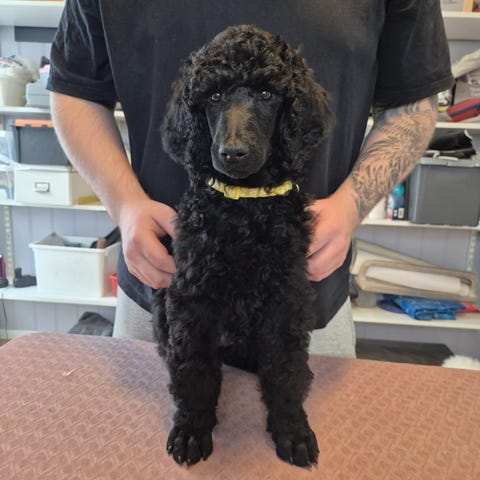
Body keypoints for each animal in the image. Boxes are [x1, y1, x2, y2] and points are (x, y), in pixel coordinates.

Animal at [153, 24, 331, 468]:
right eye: (214, 97)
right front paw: (192, 430)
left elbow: (286, 368)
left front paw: (292, 430)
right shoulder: (191, 298)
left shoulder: (287, 297)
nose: (233, 153)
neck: (244, 205)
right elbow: (194, 368)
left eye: (267, 94)